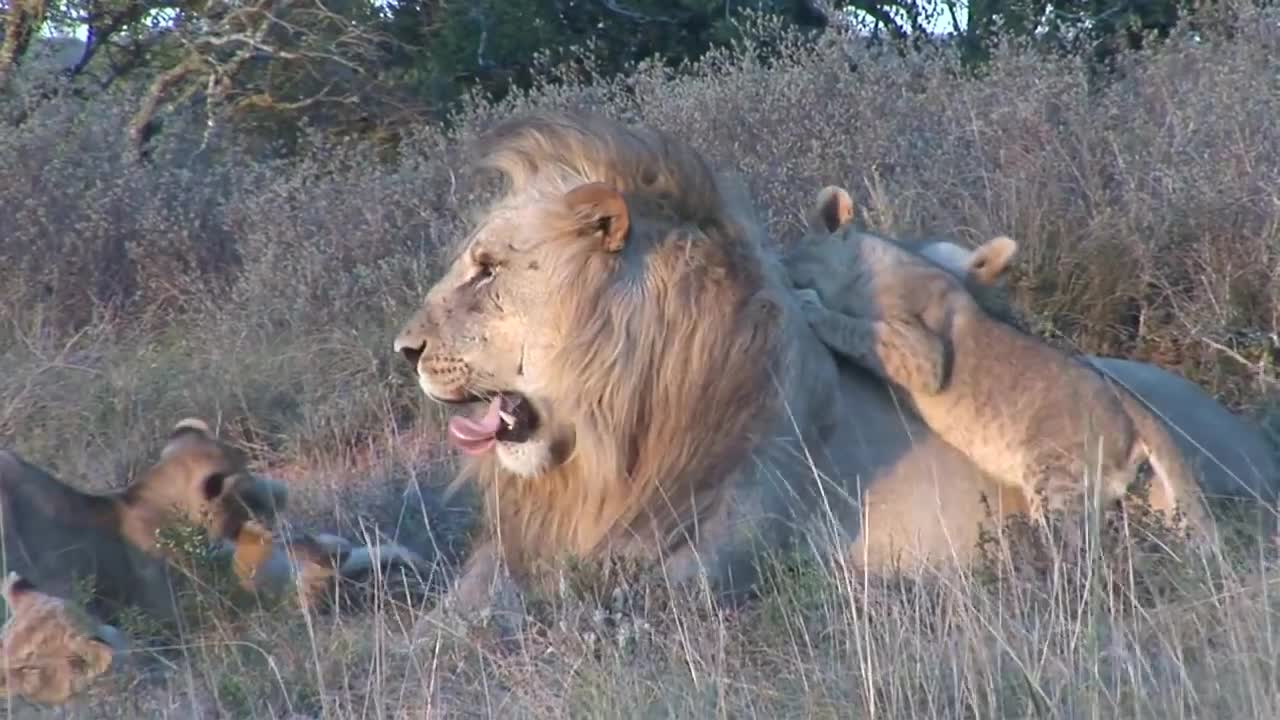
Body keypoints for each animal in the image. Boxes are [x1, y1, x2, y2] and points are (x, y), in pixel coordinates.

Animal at [783, 184, 1213, 532]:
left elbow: (853, 328)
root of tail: (1129, 403)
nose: (783, 277)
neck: (865, 266)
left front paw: (808, 305)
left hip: (1056, 475)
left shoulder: (925, 353)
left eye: (788, 256)